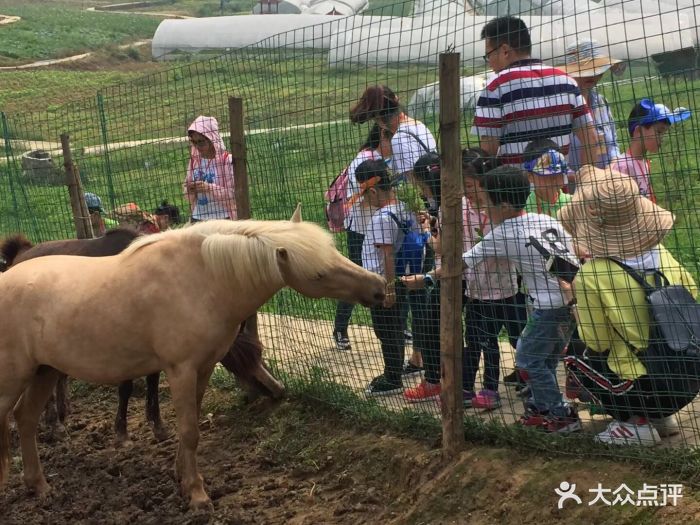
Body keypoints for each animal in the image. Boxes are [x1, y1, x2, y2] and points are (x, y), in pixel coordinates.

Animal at [0, 214, 386, 508]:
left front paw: (182, 479)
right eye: (318, 274)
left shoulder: (202, 369)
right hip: (15, 378)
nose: (379, 288)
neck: (201, 280)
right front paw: (199, 496)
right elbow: (188, 431)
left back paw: (40, 486)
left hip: (45, 372)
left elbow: (192, 426)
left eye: (334, 251)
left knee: (25, 419)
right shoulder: (181, 370)